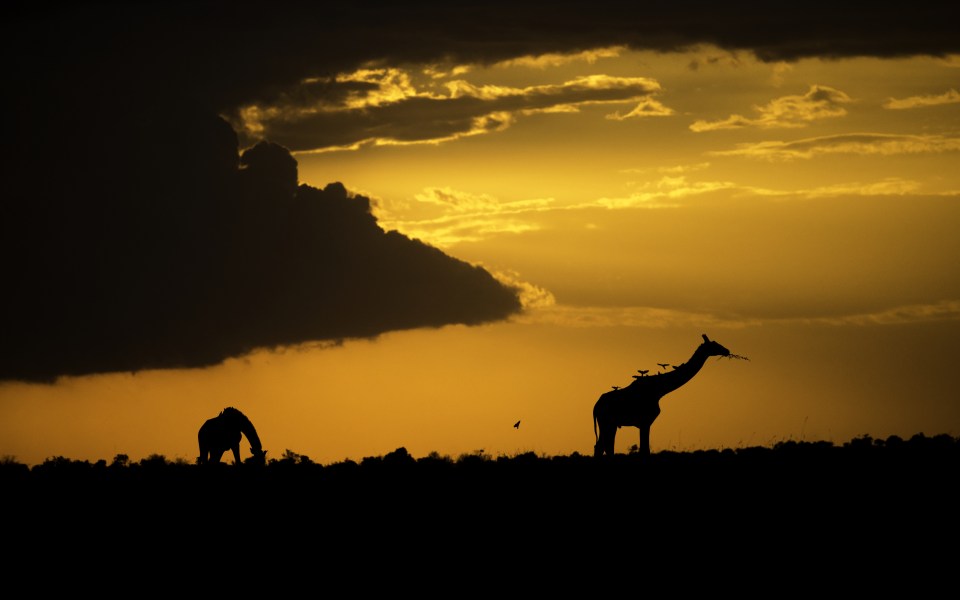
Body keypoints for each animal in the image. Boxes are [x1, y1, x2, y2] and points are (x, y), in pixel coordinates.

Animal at [588, 336, 732, 458]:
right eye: (714, 345)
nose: (727, 350)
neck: (659, 390)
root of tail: (596, 407)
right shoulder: (645, 421)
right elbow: (645, 450)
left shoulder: (644, 422)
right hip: (606, 422)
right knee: (602, 446)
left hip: (609, 423)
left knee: (603, 446)